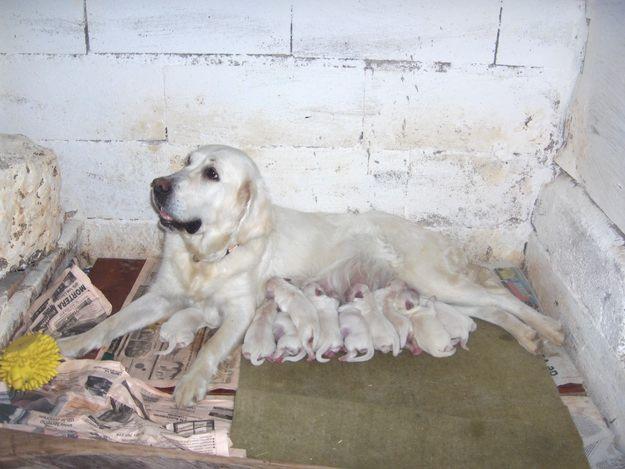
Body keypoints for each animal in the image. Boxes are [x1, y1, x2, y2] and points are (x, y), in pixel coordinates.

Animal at [59, 145, 564, 406]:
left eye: (211, 173)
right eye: (186, 160)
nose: (157, 186)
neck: (208, 254)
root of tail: (432, 233)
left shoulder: (241, 313)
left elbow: (212, 348)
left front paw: (189, 383)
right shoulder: (161, 296)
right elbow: (112, 322)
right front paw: (71, 343)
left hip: (431, 277)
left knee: (503, 299)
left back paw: (549, 328)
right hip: (437, 292)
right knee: (490, 310)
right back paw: (528, 337)